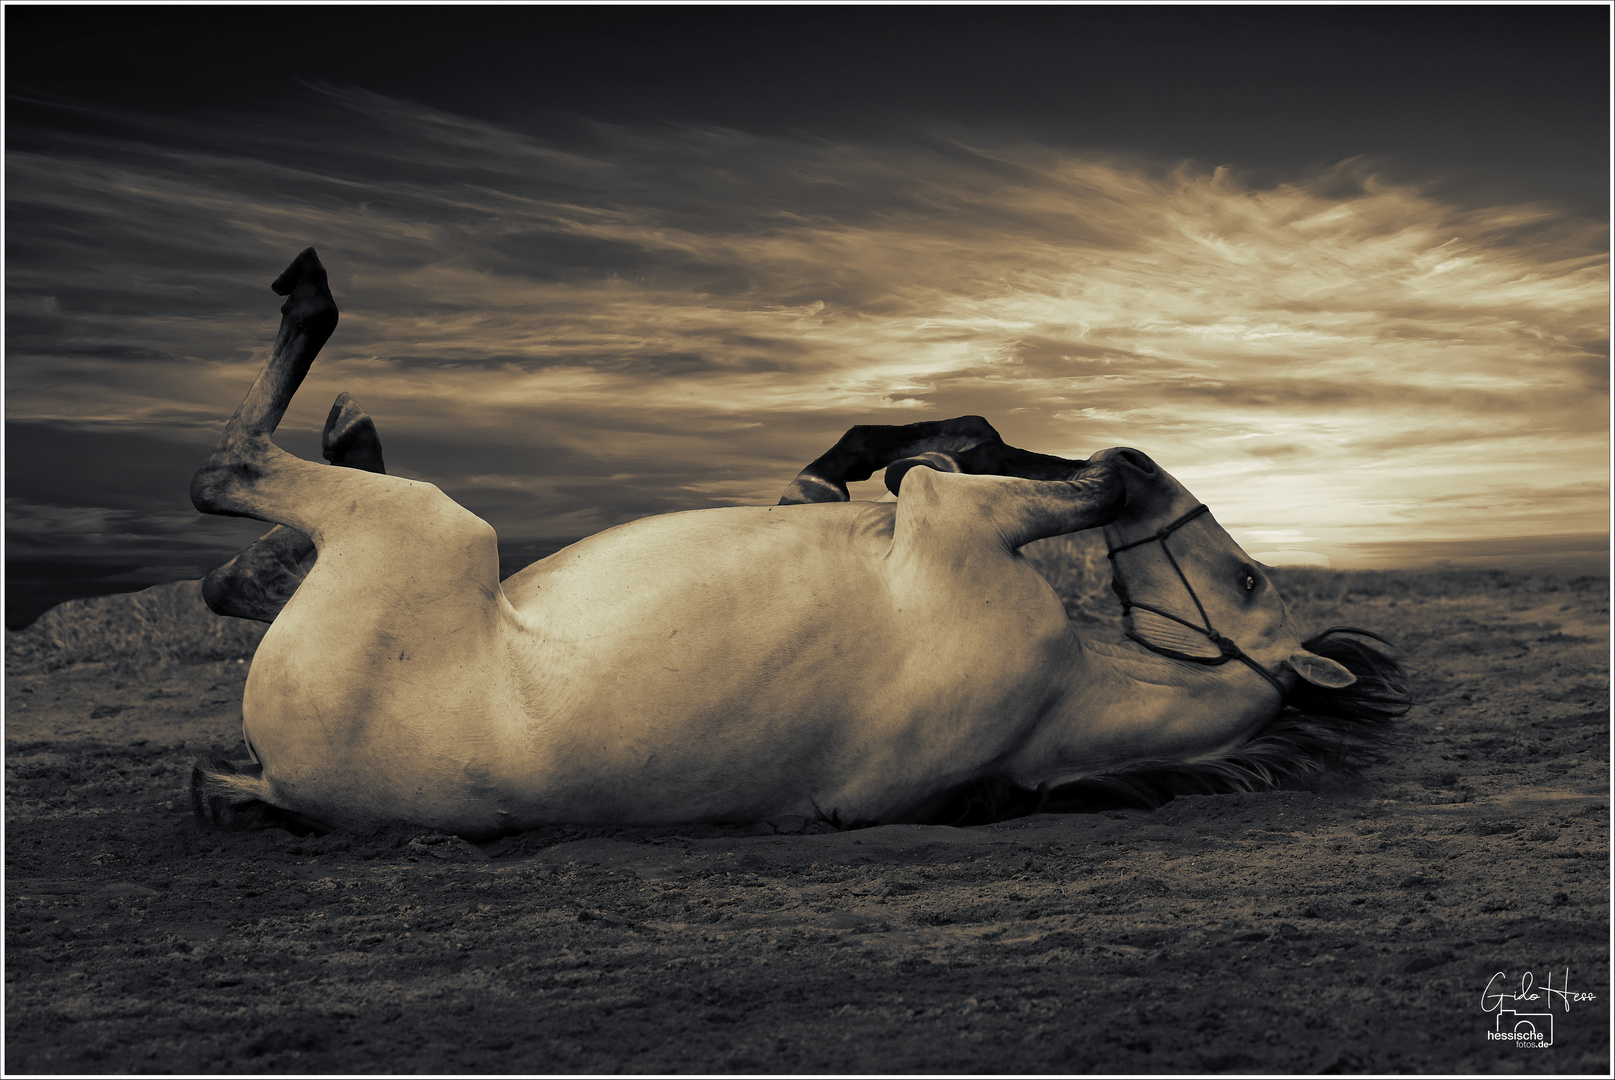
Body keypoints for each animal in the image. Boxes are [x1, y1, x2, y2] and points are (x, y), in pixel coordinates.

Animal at [185, 250, 1401, 833]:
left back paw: (314, 318)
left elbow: (961, 473)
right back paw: (347, 436)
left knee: (227, 479)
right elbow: (909, 451)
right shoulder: (870, 505)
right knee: (240, 560)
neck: (1063, 700)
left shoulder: (953, 525)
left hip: (430, 528)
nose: (1146, 461)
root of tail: (284, 780)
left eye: (1242, 575)